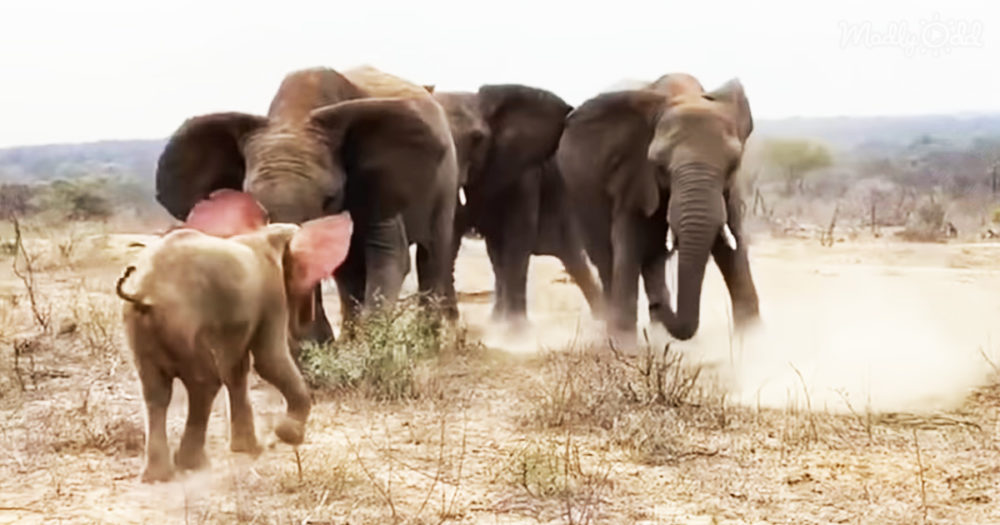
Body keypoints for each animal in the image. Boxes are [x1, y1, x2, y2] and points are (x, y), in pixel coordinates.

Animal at [117, 190, 353, 482]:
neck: (266, 234)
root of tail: (144, 292)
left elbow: (237, 369)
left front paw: (250, 448)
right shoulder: (271, 293)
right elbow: (269, 360)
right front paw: (287, 436)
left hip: (141, 328)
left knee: (156, 391)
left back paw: (158, 476)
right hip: (183, 322)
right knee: (203, 383)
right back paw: (193, 464)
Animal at [155, 65, 459, 345]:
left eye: (330, 199)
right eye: (253, 202)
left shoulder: (378, 181)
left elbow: (389, 255)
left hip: (447, 180)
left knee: (432, 254)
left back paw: (427, 345)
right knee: (349, 272)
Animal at [433, 85, 602, 326]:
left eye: (477, 138)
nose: (455, 322)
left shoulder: (525, 174)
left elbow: (518, 236)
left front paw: (516, 331)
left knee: (574, 260)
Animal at [556, 73, 760, 341]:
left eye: (734, 163)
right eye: (659, 164)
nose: (660, 306)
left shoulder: (728, 191)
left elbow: (732, 251)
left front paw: (755, 341)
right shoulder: (632, 172)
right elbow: (628, 244)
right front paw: (624, 344)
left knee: (653, 259)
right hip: (580, 196)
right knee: (606, 257)